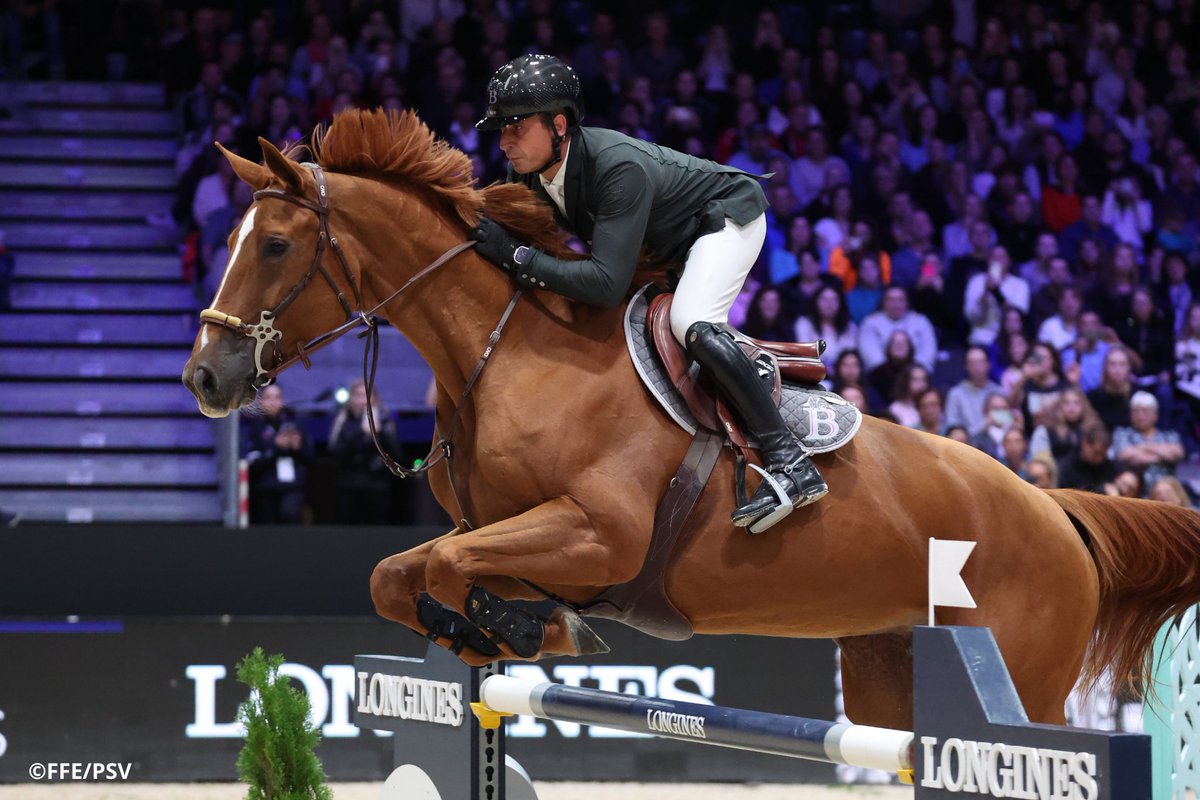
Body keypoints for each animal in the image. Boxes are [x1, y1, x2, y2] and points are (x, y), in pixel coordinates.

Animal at [180, 109, 1200, 734]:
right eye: (231, 240)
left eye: (277, 246)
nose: (204, 377)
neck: (503, 355)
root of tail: (1056, 510)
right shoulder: (503, 530)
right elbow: (402, 573)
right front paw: (510, 630)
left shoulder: (598, 534)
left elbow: (440, 567)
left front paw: (525, 630)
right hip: (888, 678)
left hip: (1025, 682)